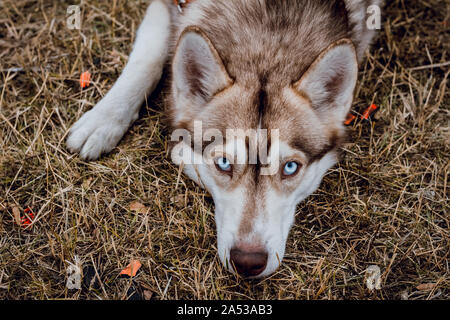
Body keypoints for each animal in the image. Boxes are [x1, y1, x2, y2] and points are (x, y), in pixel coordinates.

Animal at [67, 0, 382, 276]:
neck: (267, 40)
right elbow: (148, 59)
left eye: (290, 168)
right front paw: (102, 120)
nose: (248, 262)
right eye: (223, 163)